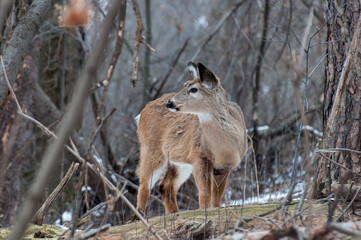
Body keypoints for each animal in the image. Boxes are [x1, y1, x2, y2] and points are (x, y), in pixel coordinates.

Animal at [135, 62, 248, 216]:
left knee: (165, 186)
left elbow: (217, 194)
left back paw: (174, 214)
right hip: (151, 150)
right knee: (144, 184)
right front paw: (203, 211)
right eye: (184, 84)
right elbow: (205, 192)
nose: (169, 103)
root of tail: (141, 113)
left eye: (193, 89)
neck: (223, 150)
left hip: (179, 162)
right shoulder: (198, 156)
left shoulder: (225, 166)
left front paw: (215, 210)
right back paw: (139, 217)